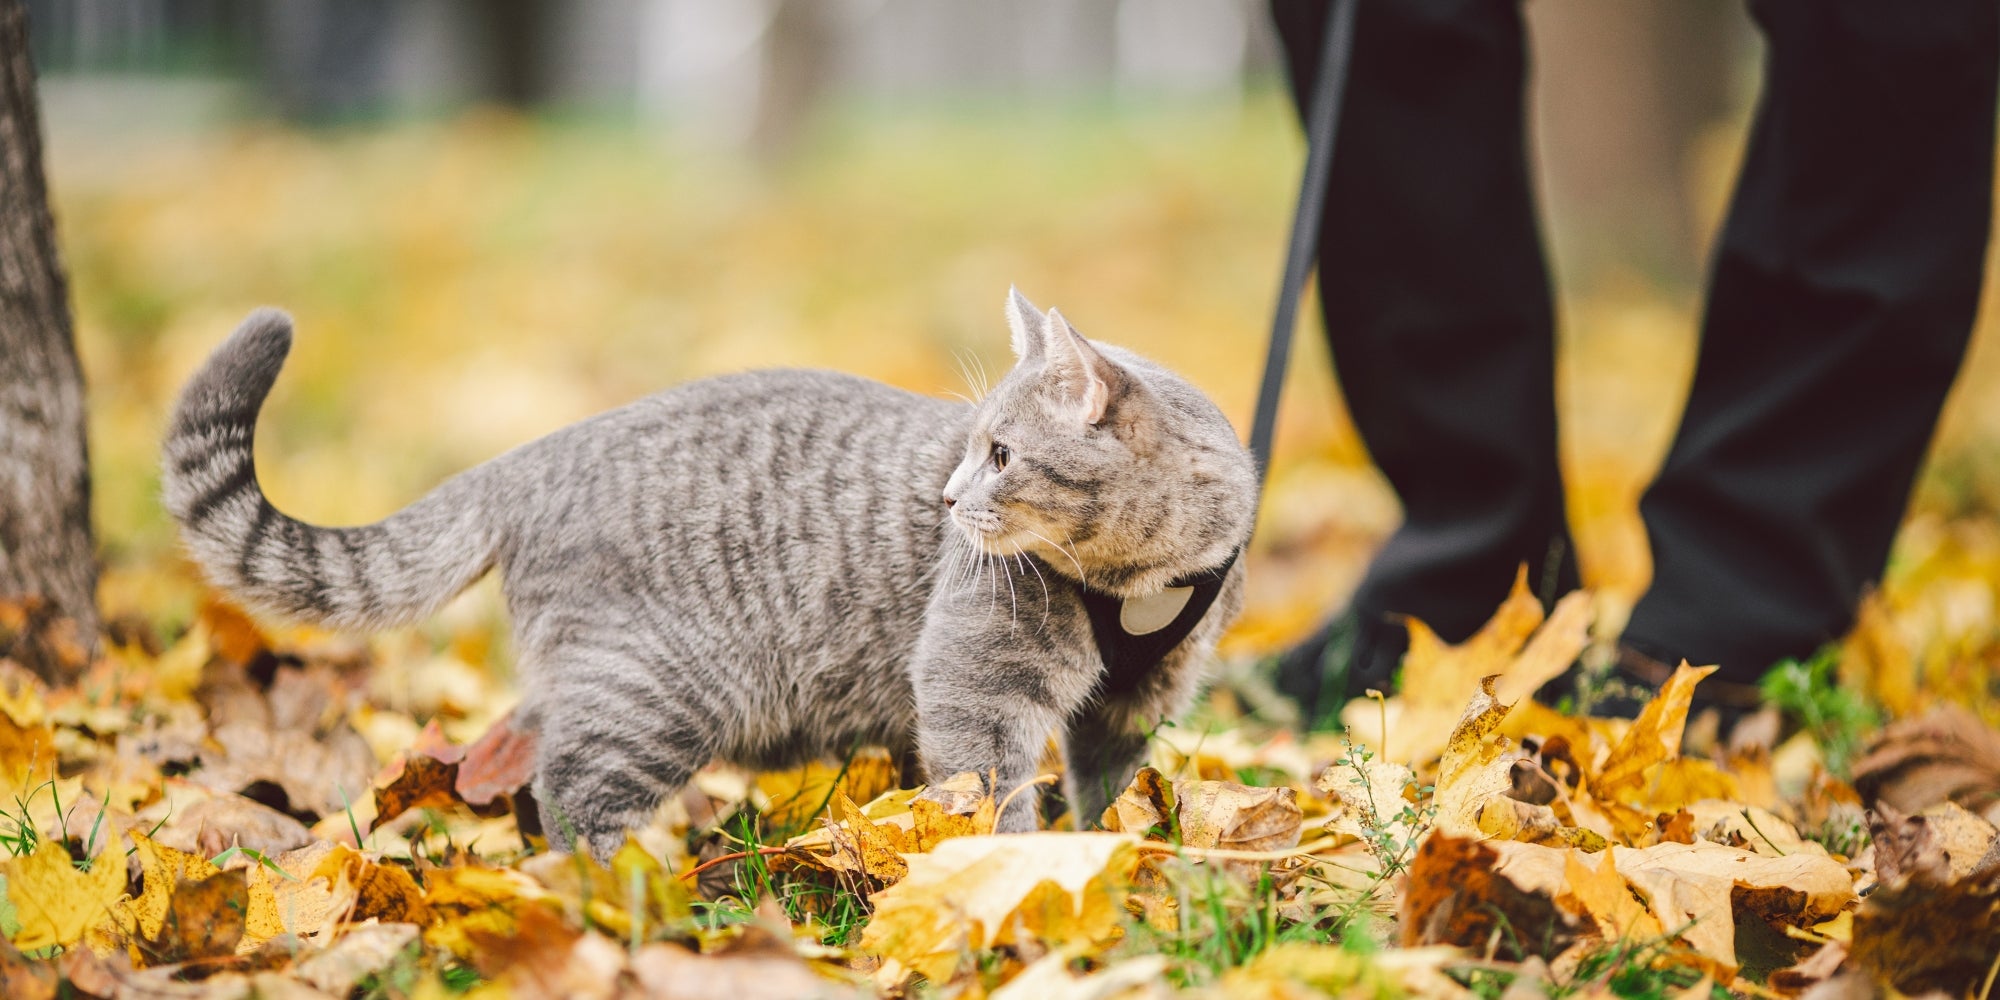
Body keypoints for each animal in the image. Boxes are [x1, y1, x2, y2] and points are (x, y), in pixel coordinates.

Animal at [164, 292, 1248, 860]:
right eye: (974, 447)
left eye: (1002, 454)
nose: (944, 499)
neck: (1139, 581)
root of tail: (536, 453)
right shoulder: (975, 688)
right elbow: (990, 798)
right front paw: (1017, 882)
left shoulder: (1136, 702)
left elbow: (1109, 787)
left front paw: (1116, 856)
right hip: (656, 692)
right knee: (572, 793)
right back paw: (625, 897)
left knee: (504, 759)